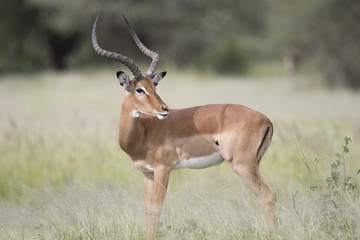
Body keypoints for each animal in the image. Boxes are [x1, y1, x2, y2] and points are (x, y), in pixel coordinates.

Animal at [92, 15, 276, 239]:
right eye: (140, 89)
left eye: (154, 86)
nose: (164, 109)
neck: (144, 132)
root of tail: (265, 120)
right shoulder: (147, 173)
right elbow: (148, 208)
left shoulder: (164, 169)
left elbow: (157, 207)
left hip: (242, 165)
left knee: (268, 195)